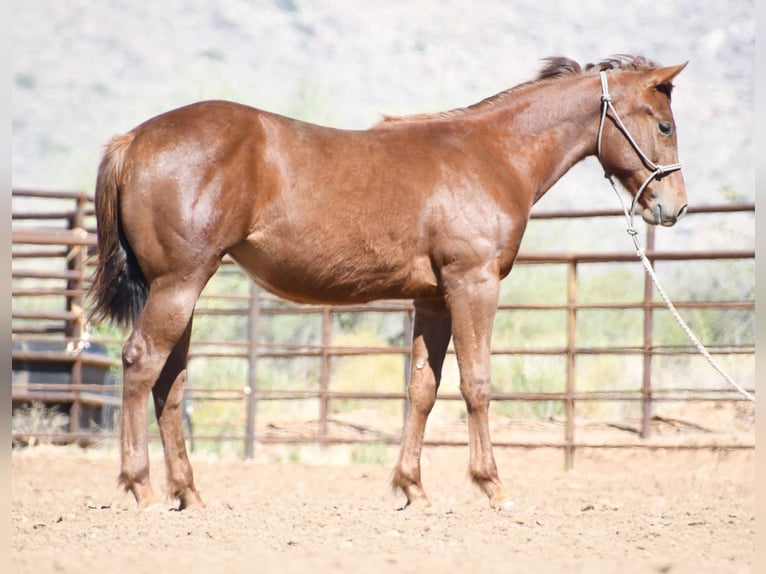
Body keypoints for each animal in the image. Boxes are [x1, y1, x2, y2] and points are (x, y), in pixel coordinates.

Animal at [89, 54, 688, 511]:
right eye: (664, 125)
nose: (674, 206)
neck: (492, 155)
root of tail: (132, 139)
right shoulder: (473, 285)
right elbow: (477, 383)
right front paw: (492, 486)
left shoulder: (434, 299)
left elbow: (422, 389)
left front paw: (412, 488)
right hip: (180, 283)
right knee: (142, 362)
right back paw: (142, 489)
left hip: (182, 288)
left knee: (170, 381)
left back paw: (189, 494)